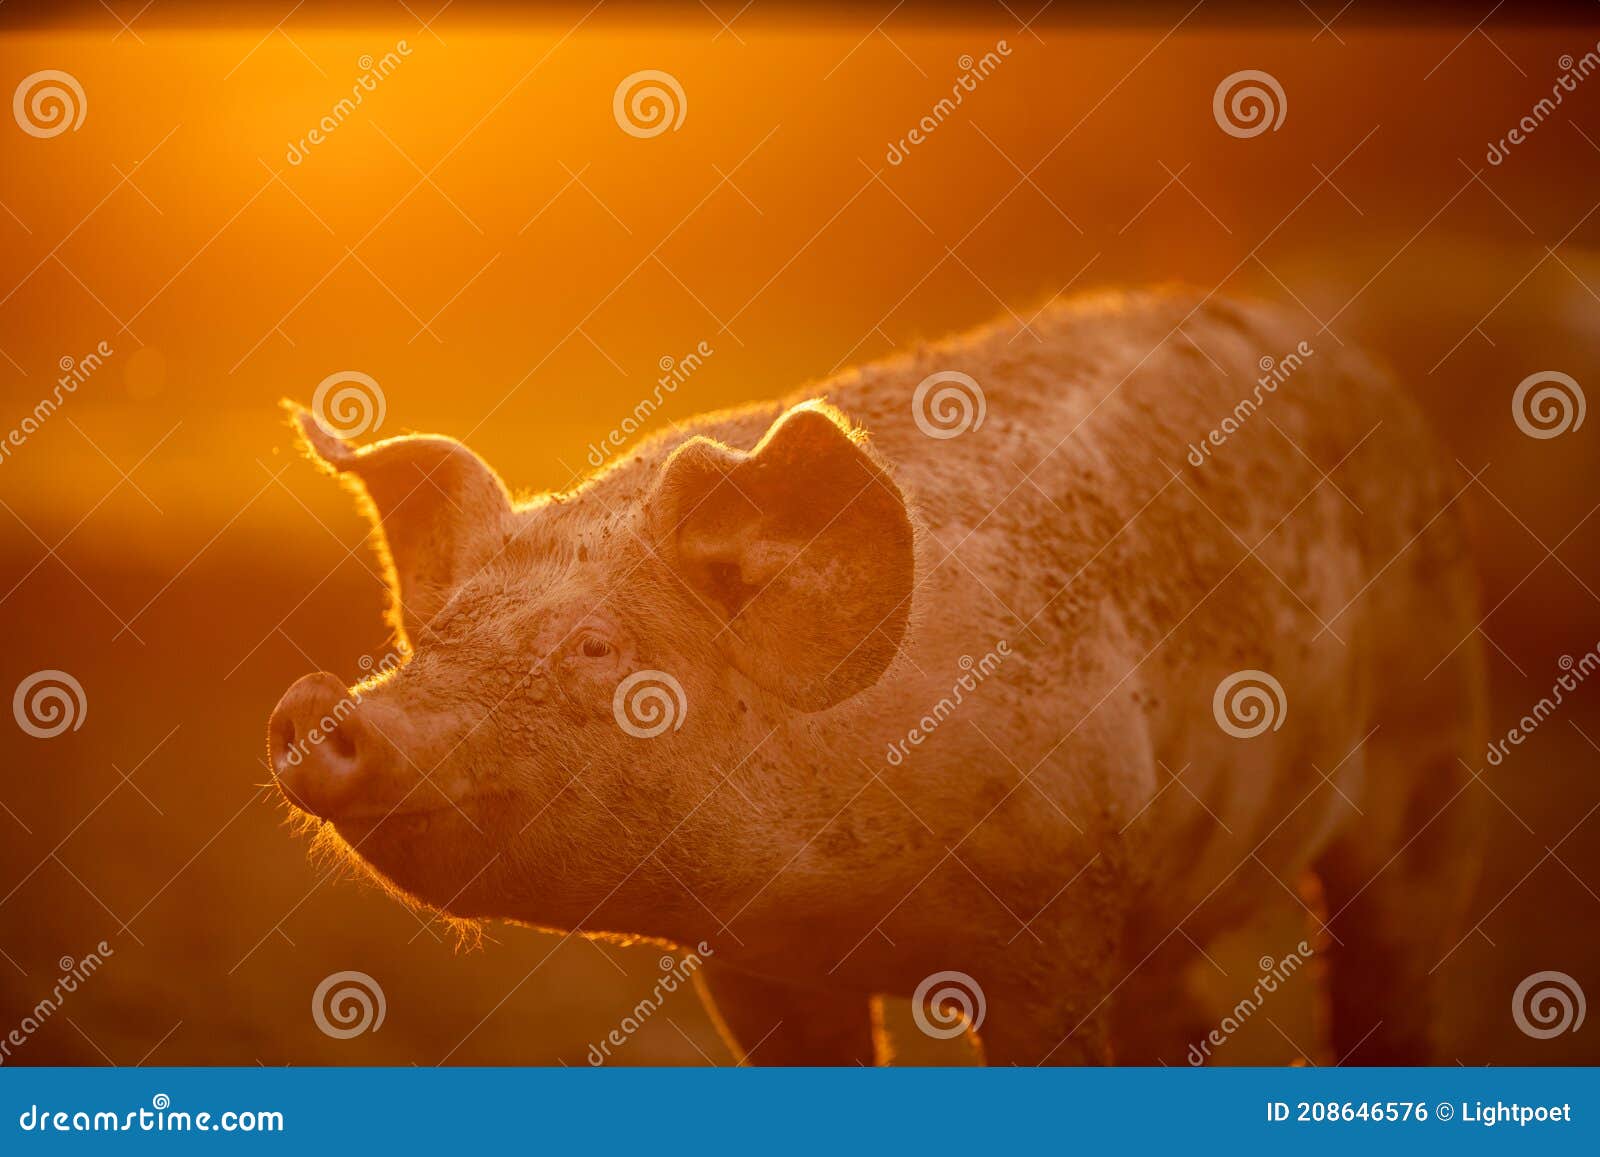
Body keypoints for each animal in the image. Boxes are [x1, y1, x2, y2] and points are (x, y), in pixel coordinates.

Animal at [268, 287, 1487, 1065]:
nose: (325, 708)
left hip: (1432, 734)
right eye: (438, 631)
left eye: (597, 646)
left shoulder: (1061, 893)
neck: (835, 894)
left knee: (1396, 956)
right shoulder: (751, 963)